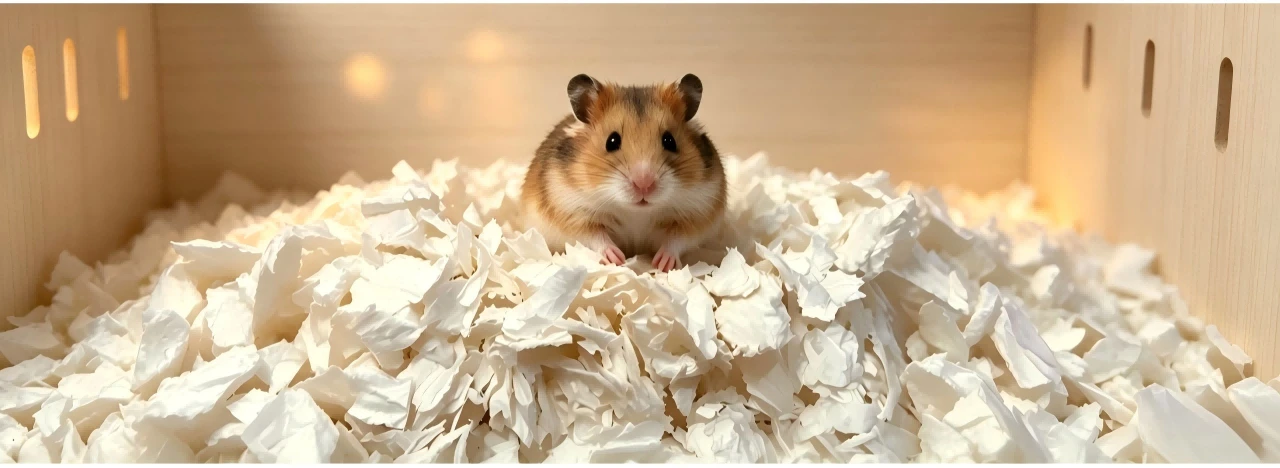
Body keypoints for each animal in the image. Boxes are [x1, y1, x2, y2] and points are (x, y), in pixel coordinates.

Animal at [520, 73, 727, 272]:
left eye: (669, 140)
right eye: (611, 141)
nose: (644, 184)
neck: (636, 212)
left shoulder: (697, 211)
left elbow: (676, 239)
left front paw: (662, 264)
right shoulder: (572, 211)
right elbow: (595, 236)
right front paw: (616, 259)